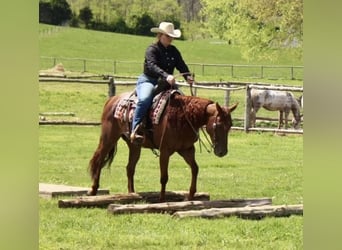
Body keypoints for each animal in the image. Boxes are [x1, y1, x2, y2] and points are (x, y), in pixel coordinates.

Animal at [88, 91, 238, 202]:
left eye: (230, 125)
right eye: (218, 124)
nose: (222, 152)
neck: (183, 116)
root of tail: (112, 100)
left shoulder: (187, 150)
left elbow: (195, 169)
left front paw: (190, 196)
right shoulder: (165, 150)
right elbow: (164, 176)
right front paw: (161, 199)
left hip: (134, 145)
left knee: (130, 168)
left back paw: (131, 194)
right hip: (108, 138)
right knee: (99, 160)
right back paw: (93, 190)